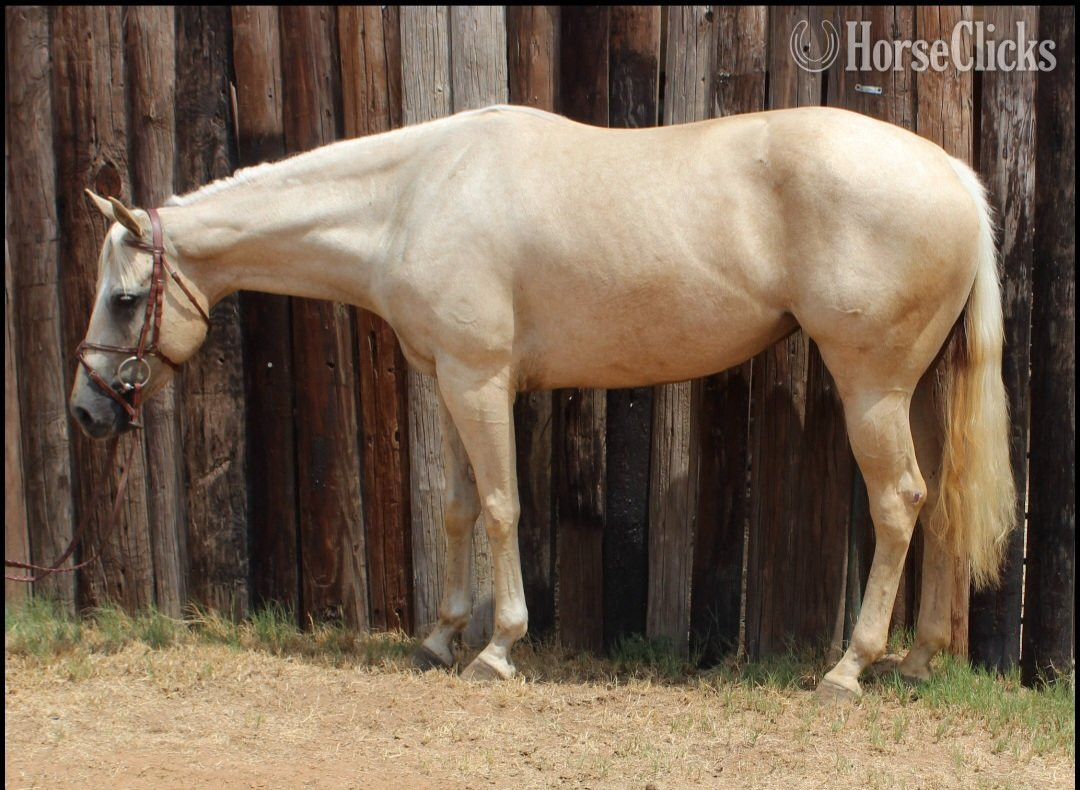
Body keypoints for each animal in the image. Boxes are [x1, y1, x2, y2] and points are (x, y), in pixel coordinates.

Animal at [70, 104, 1016, 701]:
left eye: (124, 297)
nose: (86, 411)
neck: (414, 196)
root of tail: (953, 175)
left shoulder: (480, 380)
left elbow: (499, 506)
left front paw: (497, 648)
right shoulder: (447, 378)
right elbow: (455, 509)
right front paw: (441, 637)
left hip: (871, 388)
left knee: (898, 503)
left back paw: (850, 669)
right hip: (916, 392)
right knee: (936, 506)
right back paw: (919, 660)